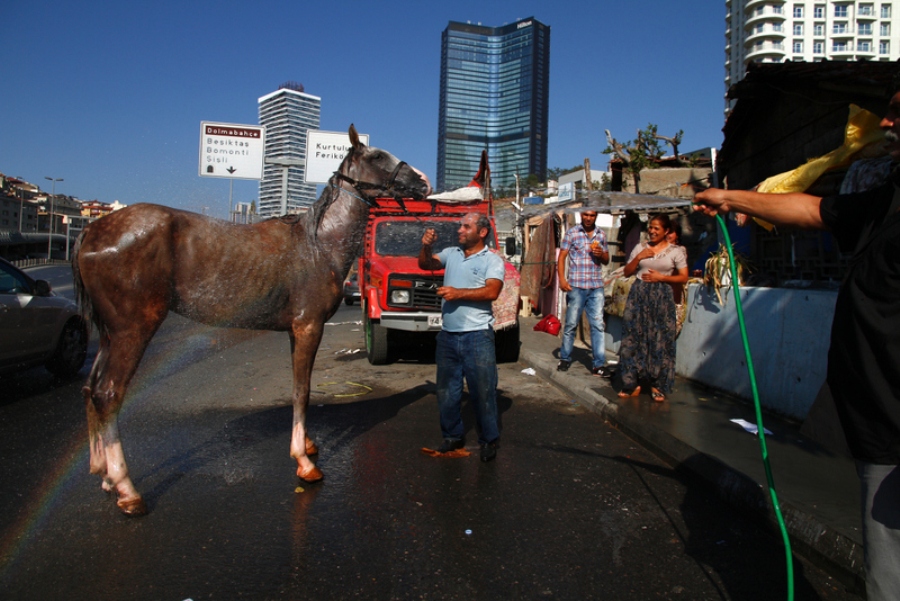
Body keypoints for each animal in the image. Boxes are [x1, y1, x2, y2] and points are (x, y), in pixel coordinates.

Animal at [74, 124, 432, 512]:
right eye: (378, 156)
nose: (424, 181)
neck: (318, 244)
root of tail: (93, 231)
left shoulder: (296, 330)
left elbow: (300, 388)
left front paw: (308, 446)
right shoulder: (309, 327)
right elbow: (302, 390)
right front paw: (304, 462)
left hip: (109, 333)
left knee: (91, 388)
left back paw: (104, 474)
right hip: (134, 329)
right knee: (109, 393)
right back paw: (126, 487)